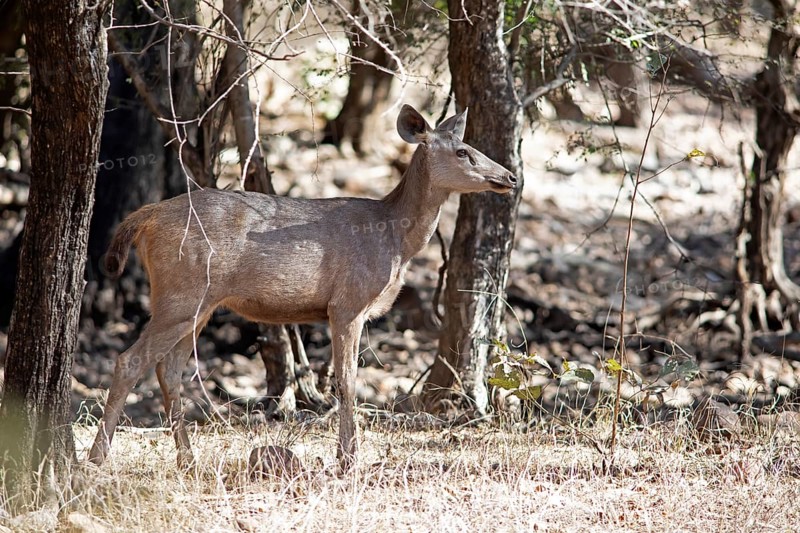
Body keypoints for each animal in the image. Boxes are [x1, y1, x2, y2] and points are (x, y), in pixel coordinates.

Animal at [88, 104, 517, 471]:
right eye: (463, 151)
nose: (511, 176)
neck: (395, 239)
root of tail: (146, 218)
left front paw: (347, 456)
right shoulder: (348, 303)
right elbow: (347, 381)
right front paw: (348, 460)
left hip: (199, 302)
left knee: (169, 368)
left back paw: (186, 460)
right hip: (181, 292)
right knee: (130, 361)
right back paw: (96, 460)